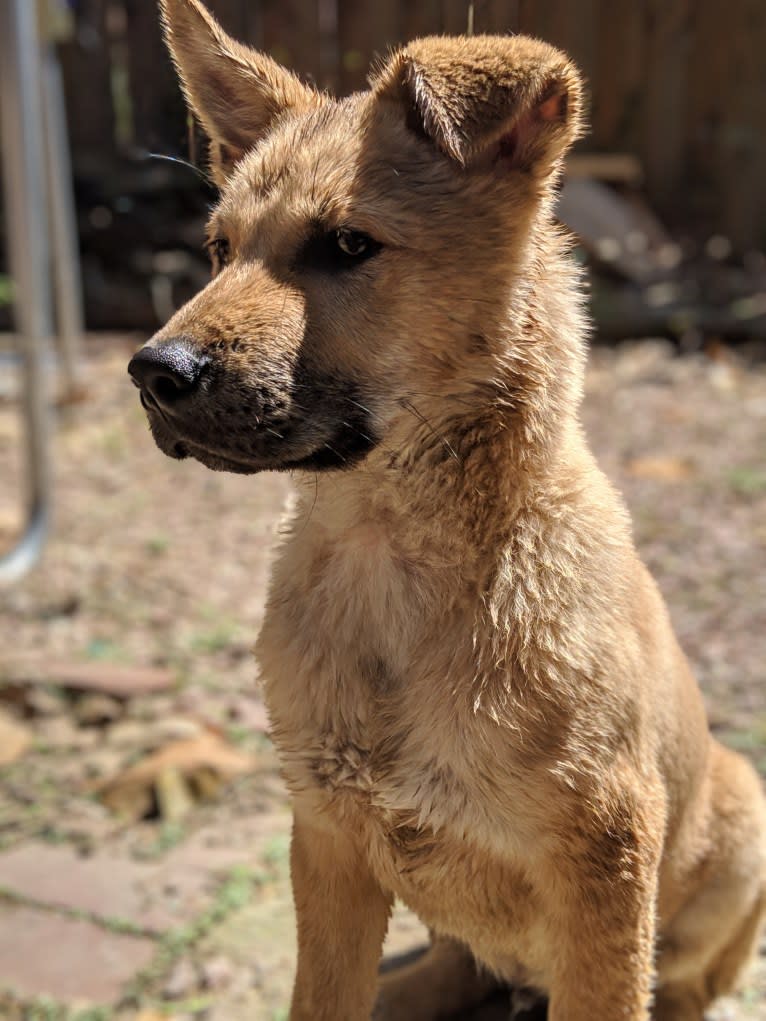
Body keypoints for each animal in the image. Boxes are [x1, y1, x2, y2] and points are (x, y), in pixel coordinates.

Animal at [127, 3, 766, 1016]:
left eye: (349, 245)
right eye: (221, 251)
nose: (151, 373)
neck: (393, 555)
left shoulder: (606, 862)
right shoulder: (330, 841)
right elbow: (322, 996)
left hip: (741, 826)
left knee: (687, 983)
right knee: (463, 960)